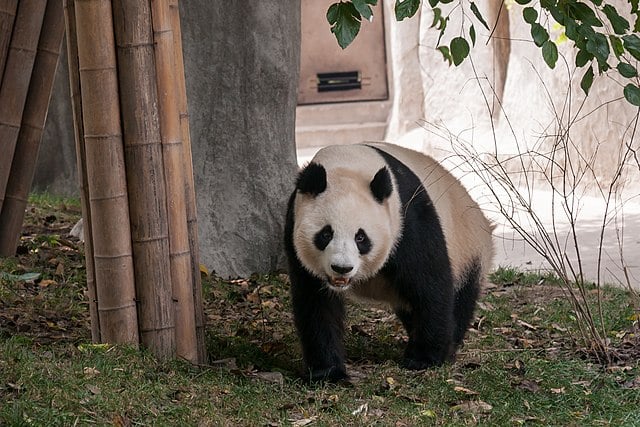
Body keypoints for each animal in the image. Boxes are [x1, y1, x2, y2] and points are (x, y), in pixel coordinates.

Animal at [284, 142, 494, 382]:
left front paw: (424, 359)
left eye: (361, 237)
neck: (347, 165)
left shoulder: (407, 219)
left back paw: (448, 347)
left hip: (468, 250)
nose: (342, 268)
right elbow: (317, 305)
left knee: (460, 297)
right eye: (326, 234)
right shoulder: (294, 227)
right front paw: (328, 373)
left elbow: (430, 286)